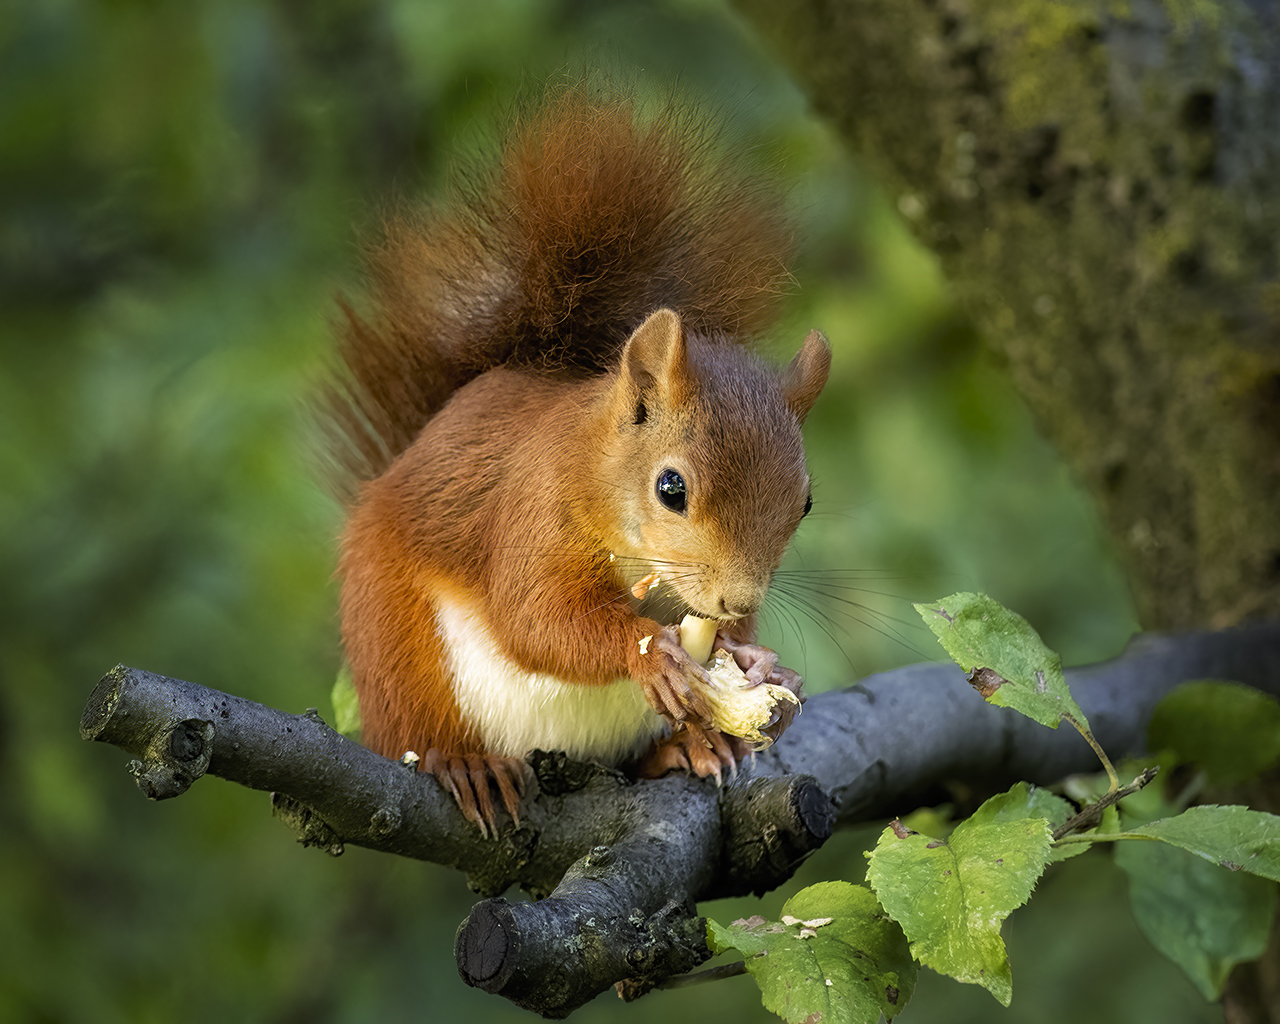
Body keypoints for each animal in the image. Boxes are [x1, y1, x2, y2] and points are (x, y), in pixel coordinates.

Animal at [330, 83, 829, 829]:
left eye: (805, 502)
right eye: (671, 488)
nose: (738, 598)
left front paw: (765, 666)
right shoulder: (533, 510)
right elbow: (534, 618)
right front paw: (649, 653)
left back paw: (689, 745)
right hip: (396, 649)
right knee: (415, 729)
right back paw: (466, 764)